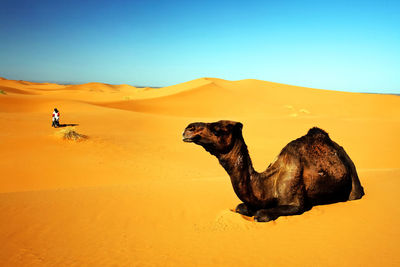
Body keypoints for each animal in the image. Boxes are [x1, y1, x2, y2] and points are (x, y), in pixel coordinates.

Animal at [183, 121, 364, 222]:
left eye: (218, 129)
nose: (188, 128)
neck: (267, 185)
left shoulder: (295, 203)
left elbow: (261, 215)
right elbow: (241, 207)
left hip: (352, 172)